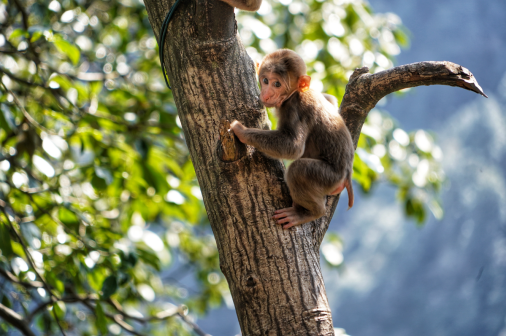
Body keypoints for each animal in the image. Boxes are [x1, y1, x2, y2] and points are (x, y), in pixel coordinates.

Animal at [231, 49, 354, 228]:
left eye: (277, 84)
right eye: (265, 80)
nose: (266, 94)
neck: (296, 93)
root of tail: (346, 176)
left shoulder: (293, 109)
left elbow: (293, 146)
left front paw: (241, 131)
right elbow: (330, 99)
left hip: (329, 178)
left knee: (298, 170)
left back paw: (309, 213)